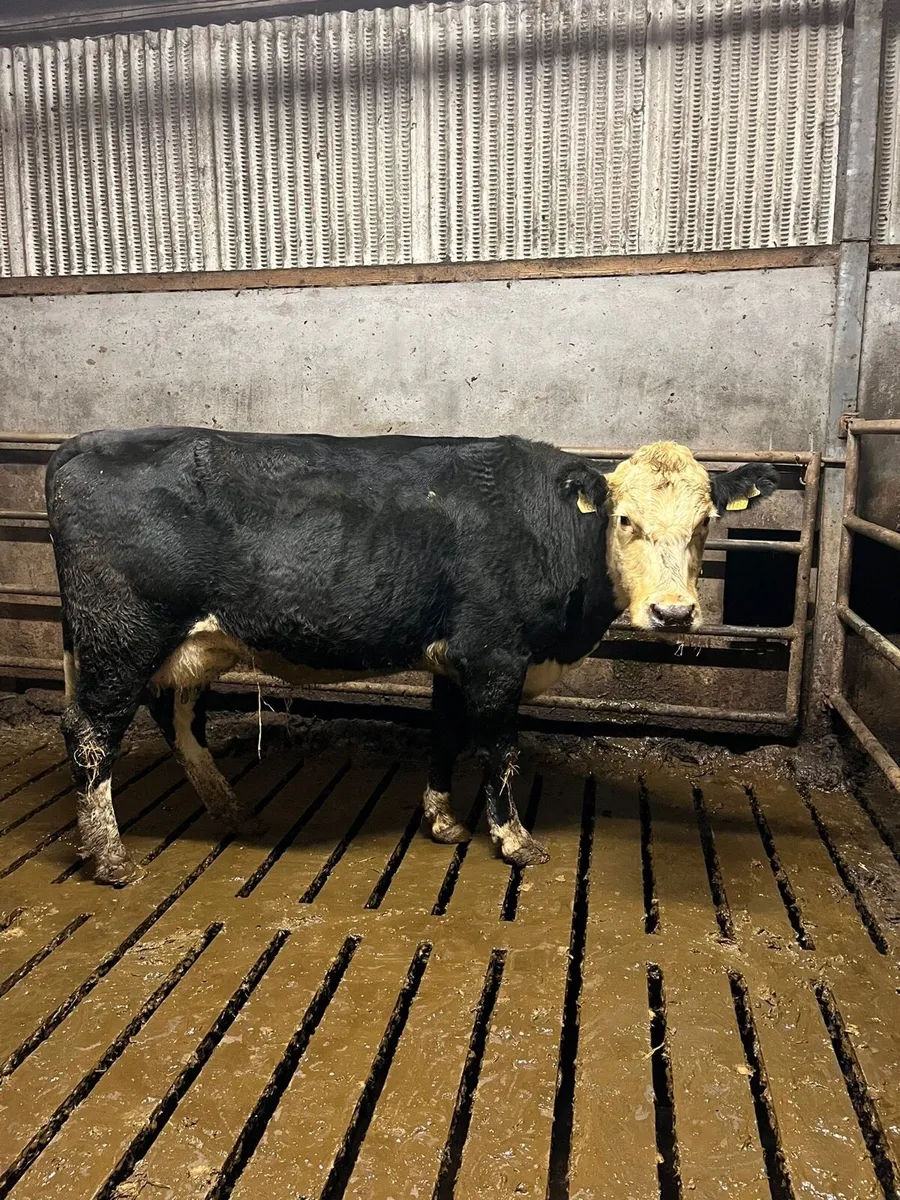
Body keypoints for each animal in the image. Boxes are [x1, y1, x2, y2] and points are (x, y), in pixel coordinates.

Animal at [45, 428, 778, 886]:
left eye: (706, 522)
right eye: (624, 520)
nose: (674, 612)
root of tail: (81, 445)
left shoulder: (455, 659)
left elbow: (444, 736)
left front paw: (443, 822)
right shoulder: (496, 654)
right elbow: (501, 749)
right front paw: (515, 841)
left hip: (180, 644)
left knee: (175, 719)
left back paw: (229, 810)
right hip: (122, 634)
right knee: (89, 733)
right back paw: (111, 860)